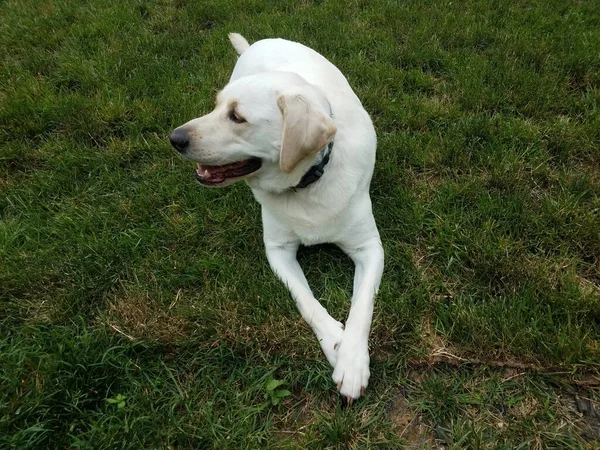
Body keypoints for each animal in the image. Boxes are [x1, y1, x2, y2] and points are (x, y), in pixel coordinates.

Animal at [170, 34, 384, 400]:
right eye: (215, 107)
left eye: (237, 117)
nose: (175, 138)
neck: (307, 183)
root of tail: (260, 41)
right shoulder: (278, 250)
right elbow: (306, 301)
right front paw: (335, 341)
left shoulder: (370, 248)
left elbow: (361, 307)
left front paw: (353, 363)